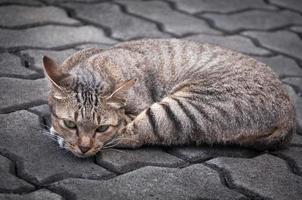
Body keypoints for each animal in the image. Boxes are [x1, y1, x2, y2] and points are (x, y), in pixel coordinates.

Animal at [43, 38, 296, 158]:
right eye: (70, 123)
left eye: (101, 127)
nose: (84, 148)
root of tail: (291, 117)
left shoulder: (134, 110)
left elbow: (120, 129)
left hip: (186, 106)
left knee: (136, 135)